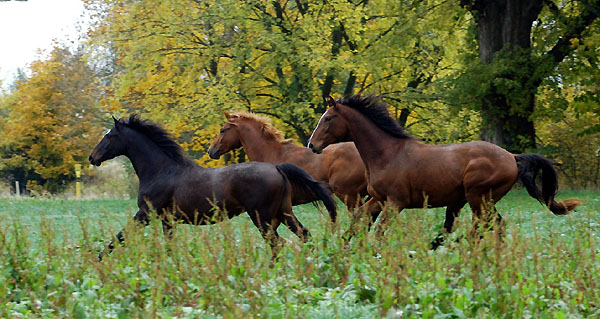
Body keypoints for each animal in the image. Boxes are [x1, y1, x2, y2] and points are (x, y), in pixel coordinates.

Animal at [89, 115, 336, 260]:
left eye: (109, 136)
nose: (93, 157)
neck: (161, 170)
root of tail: (276, 168)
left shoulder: (145, 214)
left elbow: (118, 238)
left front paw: (96, 260)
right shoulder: (167, 220)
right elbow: (168, 246)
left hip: (263, 218)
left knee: (277, 244)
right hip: (283, 212)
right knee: (303, 235)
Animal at [308, 95, 580, 248]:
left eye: (328, 118)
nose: (312, 145)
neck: (387, 153)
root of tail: (512, 158)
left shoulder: (396, 202)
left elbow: (379, 231)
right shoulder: (378, 199)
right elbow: (358, 221)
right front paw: (342, 249)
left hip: (478, 197)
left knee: (483, 227)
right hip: (482, 200)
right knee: (496, 226)